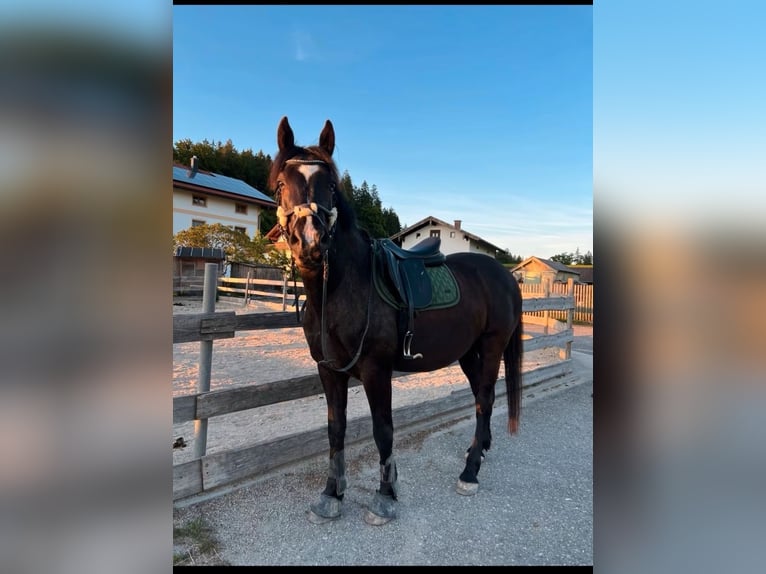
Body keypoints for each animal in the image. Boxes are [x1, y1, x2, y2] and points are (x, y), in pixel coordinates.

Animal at [269, 116, 523, 525]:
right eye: (280, 185)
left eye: (332, 186)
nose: (311, 243)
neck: (343, 287)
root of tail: (503, 274)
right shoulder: (329, 370)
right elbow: (335, 429)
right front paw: (331, 495)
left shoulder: (376, 370)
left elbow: (382, 430)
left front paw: (386, 497)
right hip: (468, 353)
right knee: (480, 397)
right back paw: (480, 450)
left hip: (492, 345)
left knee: (484, 398)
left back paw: (470, 472)